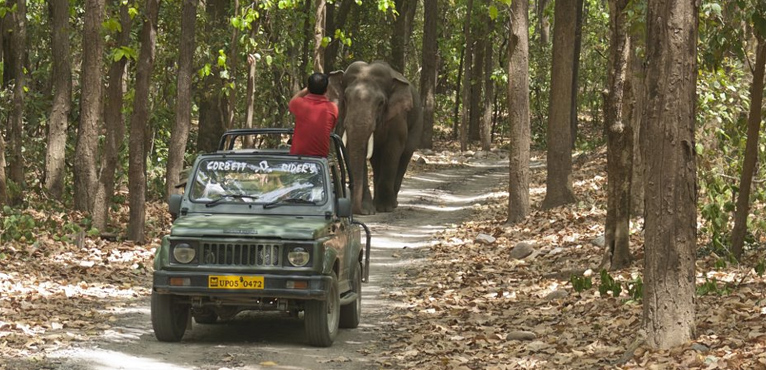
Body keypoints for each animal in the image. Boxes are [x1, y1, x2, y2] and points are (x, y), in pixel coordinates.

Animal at [328, 61, 426, 215]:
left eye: (381, 102)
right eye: (345, 98)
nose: (357, 210)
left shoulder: (397, 118)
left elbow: (392, 150)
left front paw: (384, 208)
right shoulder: (344, 117)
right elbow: (351, 147)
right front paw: (368, 210)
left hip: (417, 123)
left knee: (405, 155)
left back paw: (393, 203)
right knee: (376, 159)